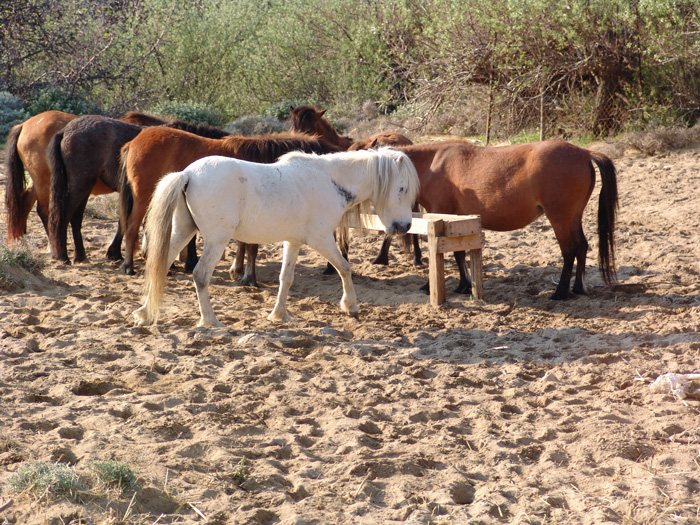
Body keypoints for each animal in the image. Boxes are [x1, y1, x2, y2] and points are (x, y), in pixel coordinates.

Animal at [47, 113, 230, 264]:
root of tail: (66, 131)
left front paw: (116, 253)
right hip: (81, 185)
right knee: (63, 216)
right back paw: (63, 256)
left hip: (84, 188)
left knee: (75, 218)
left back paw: (80, 256)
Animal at [117, 126, 340, 278]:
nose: (331, 268)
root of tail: (134, 141)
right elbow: (251, 246)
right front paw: (249, 277)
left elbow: (243, 243)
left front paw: (238, 270)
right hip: (143, 198)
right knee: (132, 227)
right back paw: (129, 266)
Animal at [132, 147, 418, 326]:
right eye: (401, 189)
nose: (405, 226)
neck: (329, 181)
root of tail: (188, 174)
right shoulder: (321, 239)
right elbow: (345, 268)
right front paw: (350, 305)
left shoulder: (293, 242)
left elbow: (286, 279)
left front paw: (278, 315)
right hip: (216, 240)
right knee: (201, 275)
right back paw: (210, 321)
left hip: (183, 230)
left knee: (160, 265)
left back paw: (144, 313)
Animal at [400, 139, 616, 300]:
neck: (432, 164)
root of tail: (585, 153)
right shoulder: (456, 221)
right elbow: (459, 253)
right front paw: (464, 285)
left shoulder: (440, 216)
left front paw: (430, 286)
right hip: (574, 217)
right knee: (582, 246)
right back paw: (578, 288)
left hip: (560, 219)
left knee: (570, 250)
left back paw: (560, 292)